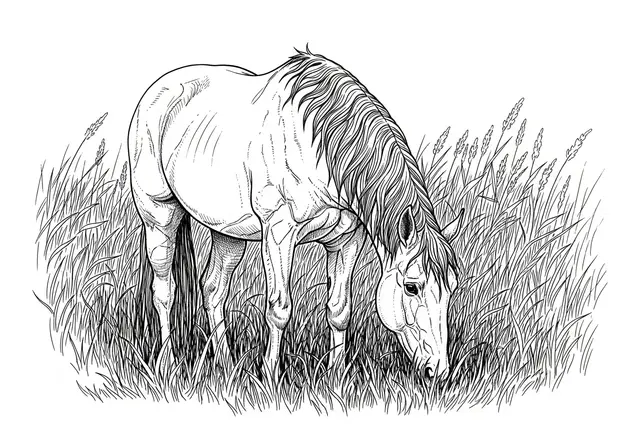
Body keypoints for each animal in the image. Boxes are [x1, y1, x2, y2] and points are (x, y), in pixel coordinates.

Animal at [128, 49, 463, 379]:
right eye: (411, 287)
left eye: (452, 289)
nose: (438, 372)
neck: (320, 149)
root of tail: (158, 90)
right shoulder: (279, 233)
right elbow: (279, 309)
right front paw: (269, 376)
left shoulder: (346, 240)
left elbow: (339, 309)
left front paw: (336, 377)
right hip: (159, 216)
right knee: (164, 291)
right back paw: (167, 364)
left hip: (227, 233)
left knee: (213, 290)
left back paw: (226, 364)